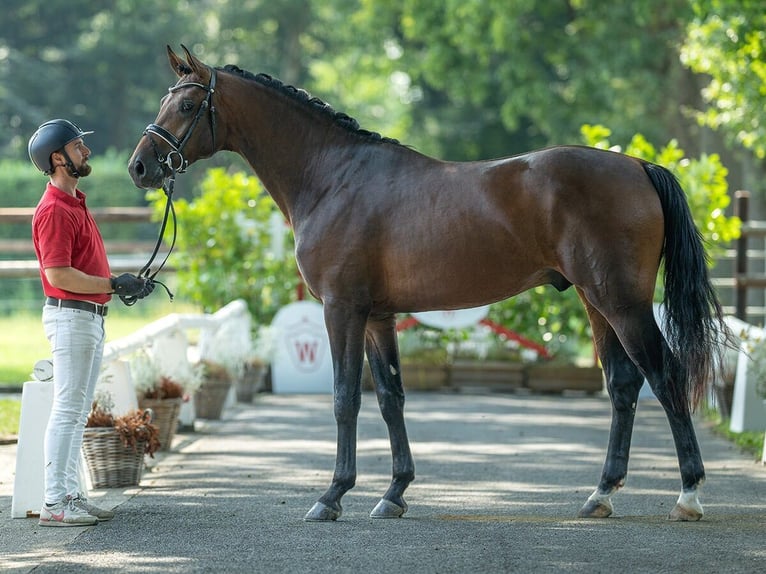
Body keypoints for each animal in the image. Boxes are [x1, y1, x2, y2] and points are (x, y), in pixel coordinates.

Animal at [129, 46, 728, 520]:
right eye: (163, 101)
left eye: (187, 105)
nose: (140, 167)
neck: (332, 176)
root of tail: (638, 166)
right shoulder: (378, 316)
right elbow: (391, 397)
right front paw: (393, 493)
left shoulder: (342, 310)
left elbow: (346, 398)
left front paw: (332, 496)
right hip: (595, 302)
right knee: (623, 385)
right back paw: (600, 495)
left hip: (622, 304)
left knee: (666, 377)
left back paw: (689, 496)